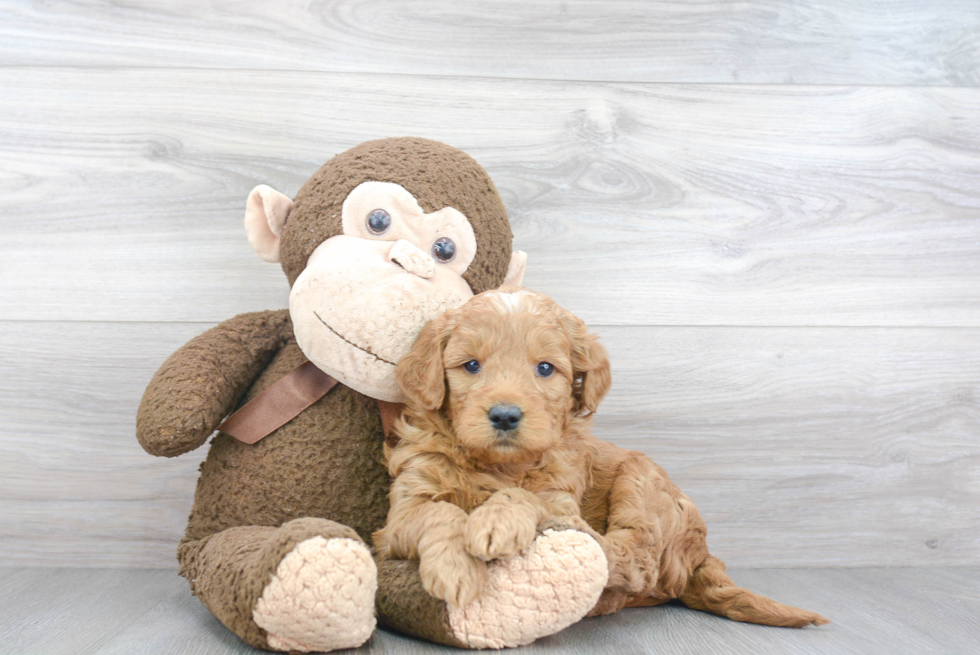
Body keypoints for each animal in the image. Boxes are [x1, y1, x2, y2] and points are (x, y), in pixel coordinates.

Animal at [374, 290, 828, 628]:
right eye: (470, 365)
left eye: (545, 368)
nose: (505, 415)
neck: (498, 465)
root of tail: (701, 550)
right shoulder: (404, 508)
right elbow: (441, 512)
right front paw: (456, 569)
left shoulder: (559, 495)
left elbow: (528, 498)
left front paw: (495, 522)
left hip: (641, 481)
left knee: (632, 559)